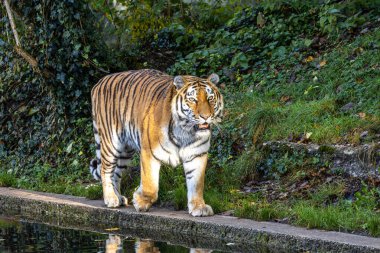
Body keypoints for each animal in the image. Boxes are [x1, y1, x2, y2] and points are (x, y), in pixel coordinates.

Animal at [90, 69, 223, 217]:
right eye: (193, 99)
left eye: (210, 98)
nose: (206, 117)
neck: (186, 132)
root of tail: (101, 81)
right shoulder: (149, 152)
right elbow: (150, 186)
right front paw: (140, 202)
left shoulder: (197, 155)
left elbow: (197, 184)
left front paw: (199, 207)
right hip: (111, 142)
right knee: (106, 170)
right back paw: (111, 199)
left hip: (125, 150)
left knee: (116, 173)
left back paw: (118, 197)